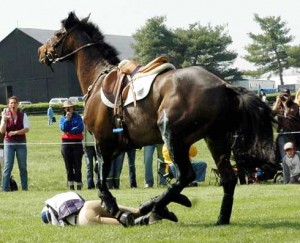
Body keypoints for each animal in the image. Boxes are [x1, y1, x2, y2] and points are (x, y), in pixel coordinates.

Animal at [38, 12, 276, 227]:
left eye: (57, 34)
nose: (41, 51)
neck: (98, 78)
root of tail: (223, 84)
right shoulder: (113, 147)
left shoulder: (102, 142)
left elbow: (101, 182)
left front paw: (117, 210)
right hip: (215, 139)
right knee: (227, 178)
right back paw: (218, 218)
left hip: (173, 133)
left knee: (185, 175)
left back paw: (152, 207)